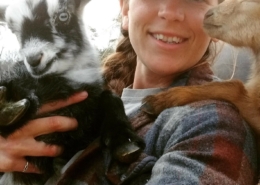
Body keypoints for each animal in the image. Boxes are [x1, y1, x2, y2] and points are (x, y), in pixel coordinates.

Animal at [0, 0, 144, 184]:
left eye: (63, 16)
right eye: (13, 29)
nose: (33, 59)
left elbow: (110, 96)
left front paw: (123, 140)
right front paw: (8, 102)